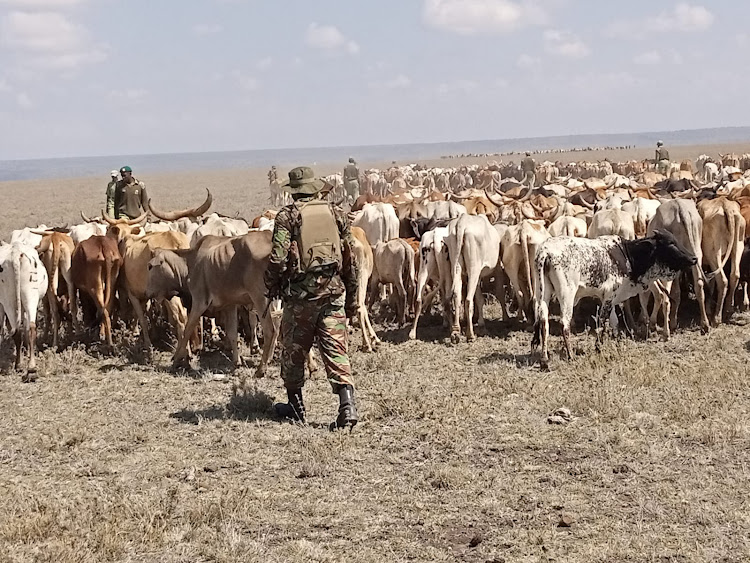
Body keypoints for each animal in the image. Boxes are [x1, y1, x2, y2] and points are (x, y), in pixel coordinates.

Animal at [0, 242, 48, 378]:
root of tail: (16, 253)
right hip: (30, 296)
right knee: (30, 328)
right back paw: (30, 367)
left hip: (10, 300)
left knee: (17, 331)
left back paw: (21, 366)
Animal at [536, 230, 700, 370]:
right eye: (670, 243)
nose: (694, 258)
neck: (627, 255)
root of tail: (546, 250)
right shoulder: (608, 297)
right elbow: (602, 323)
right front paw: (598, 348)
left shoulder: (614, 299)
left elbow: (613, 322)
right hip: (567, 294)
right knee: (564, 324)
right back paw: (570, 356)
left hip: (543, 294)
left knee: (544, 323)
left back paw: (544, 360)